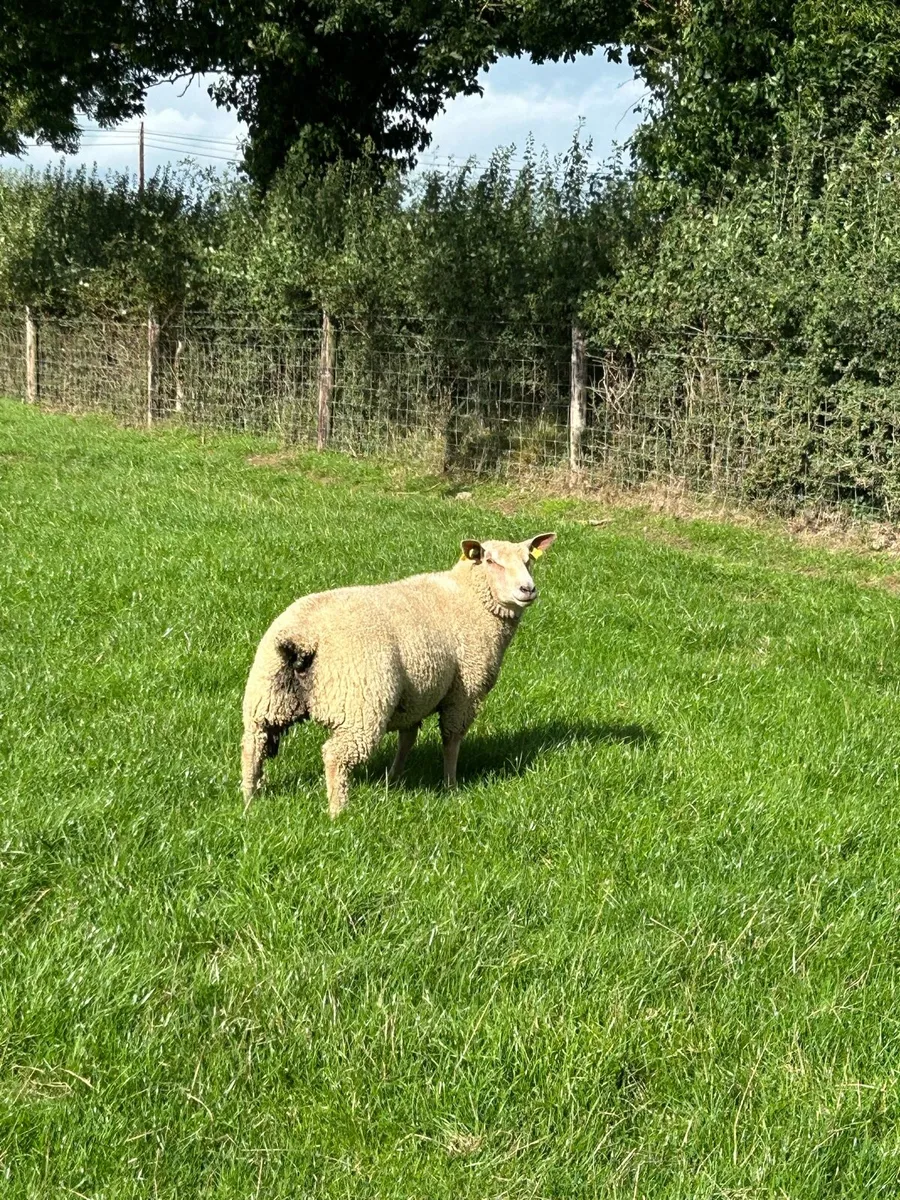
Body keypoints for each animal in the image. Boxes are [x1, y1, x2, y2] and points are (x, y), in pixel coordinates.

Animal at [241, 533, 556, 816]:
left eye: (529, 560)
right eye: (491, 561)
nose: (528, 589)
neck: (469, 598)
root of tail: (302, 638)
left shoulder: (417, 691)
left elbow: (408, 737)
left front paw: (393, 779)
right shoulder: (465, 691)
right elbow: (451, 739)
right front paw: (451, 785)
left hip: (266, 694)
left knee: (253, 744)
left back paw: (249, 798)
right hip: (361, 705)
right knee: (335, 756)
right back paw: (338, 812)